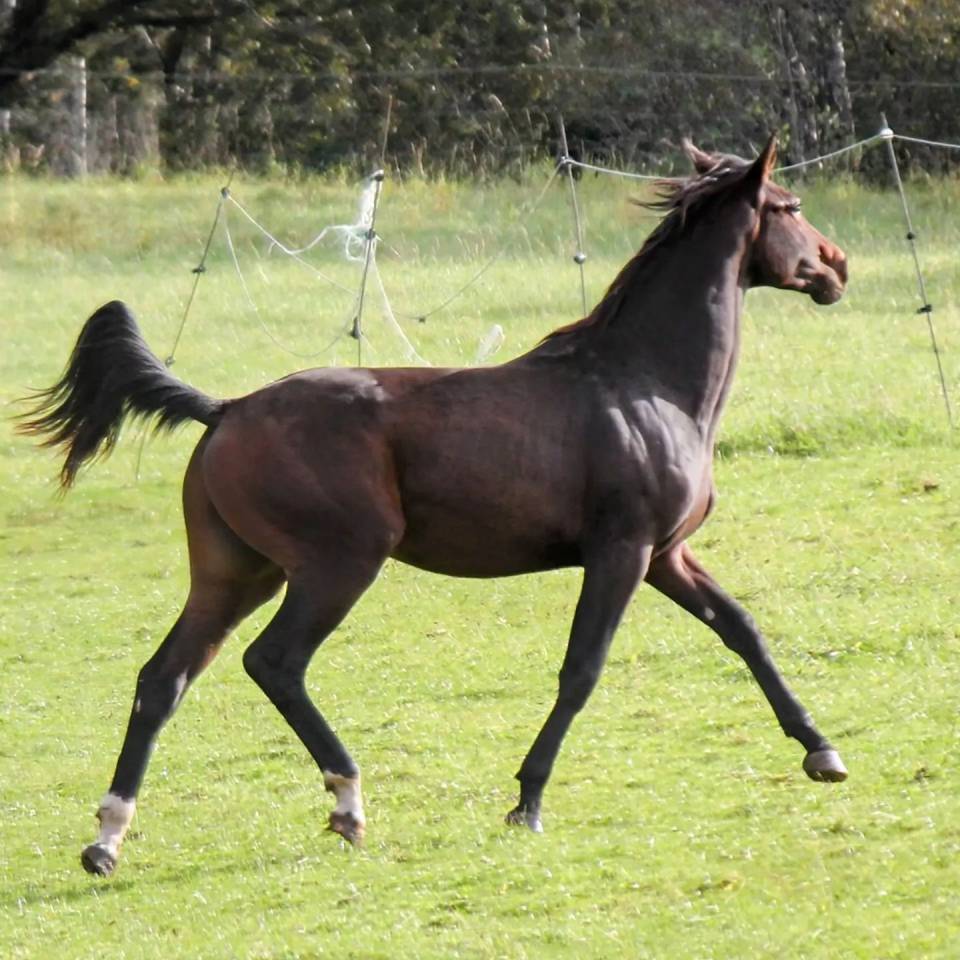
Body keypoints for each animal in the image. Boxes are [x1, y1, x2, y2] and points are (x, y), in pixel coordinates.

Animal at [19, 136, 849, 878]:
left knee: (164, 678)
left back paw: (107, 839)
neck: (643, 384)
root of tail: (225, 409)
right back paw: (347, 802)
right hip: (338, 563)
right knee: (274, 663)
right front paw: (527, 802)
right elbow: (582, 669)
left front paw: (822, 750)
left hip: (235, 573)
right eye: (789, 205)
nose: (837, 265)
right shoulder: (622, 552)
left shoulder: (666, 554)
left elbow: (742, 629)